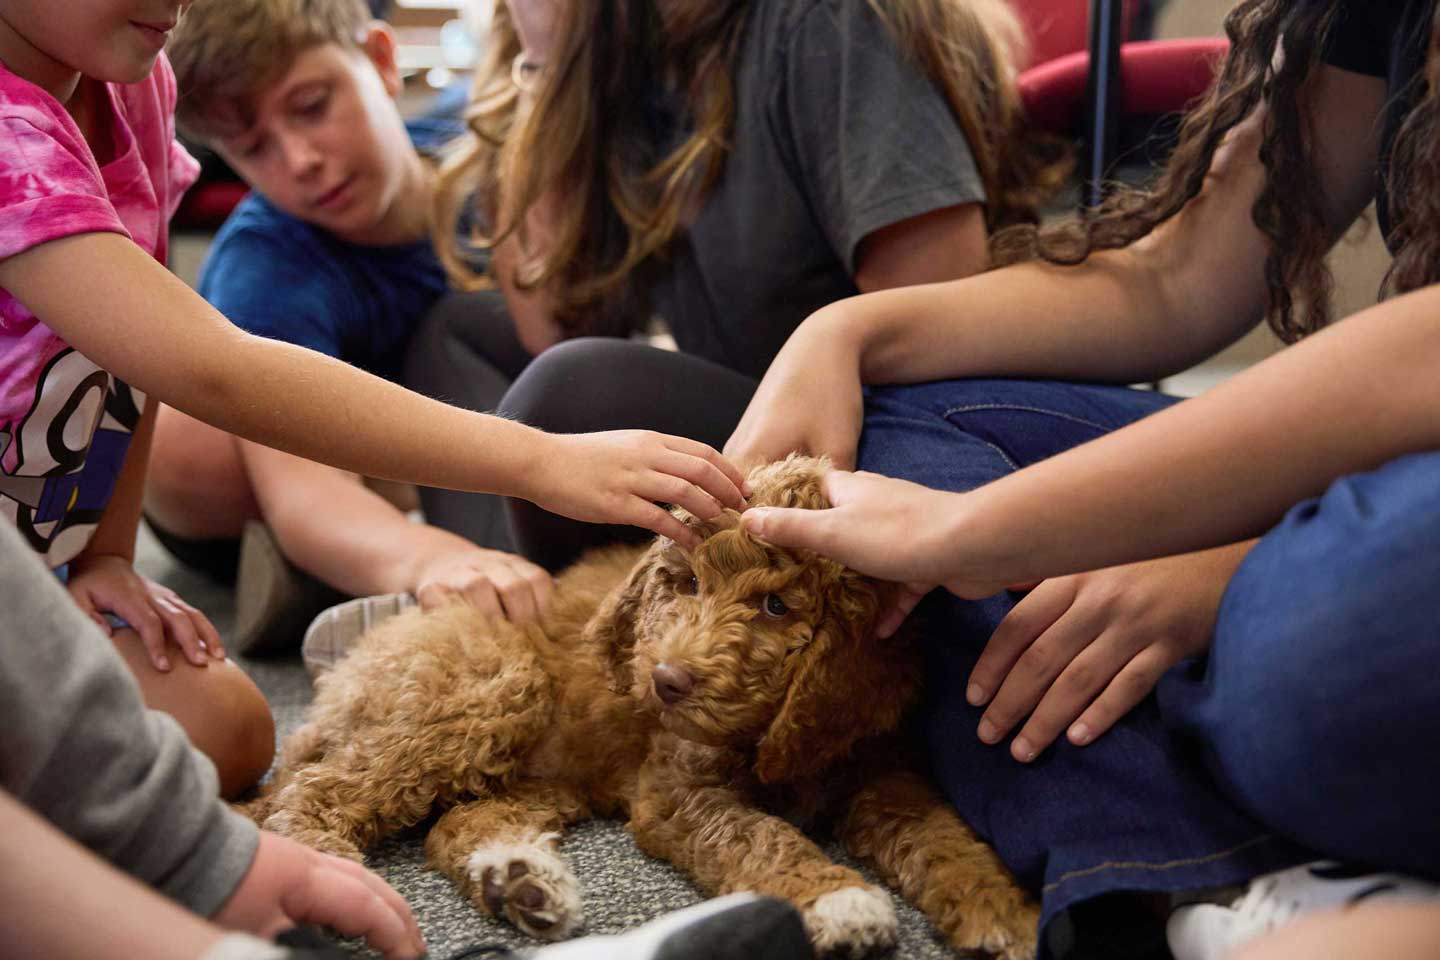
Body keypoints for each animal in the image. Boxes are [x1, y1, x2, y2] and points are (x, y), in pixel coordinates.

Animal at [249, 456, 1038, 958]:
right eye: (684, 584)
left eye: (776, 606)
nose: (665, 681)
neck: (771, 736)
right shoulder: (678, 791)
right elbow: (759, 836)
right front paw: (836, 899)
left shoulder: (885, 770)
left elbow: (943, 836)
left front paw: (1004, 913)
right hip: (488, 691)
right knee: (314, 793)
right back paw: (330, 870)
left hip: (545, 768)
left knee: (459, 820)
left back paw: (518, 879)